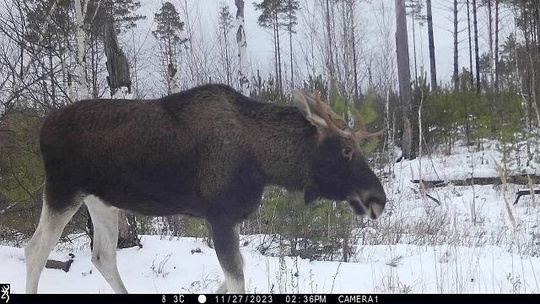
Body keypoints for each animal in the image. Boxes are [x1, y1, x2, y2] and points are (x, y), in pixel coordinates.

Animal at [25, 84, 386, 294]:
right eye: (346, 150)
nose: (378, 198)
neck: (263, 161)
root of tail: (42, 127)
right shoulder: (220, 217)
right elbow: (238, 282)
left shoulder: (230, 220)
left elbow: (231, 278)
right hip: (62, 190)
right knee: (35, 250)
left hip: (100, 201)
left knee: (102, 256)